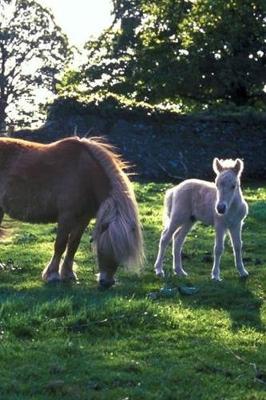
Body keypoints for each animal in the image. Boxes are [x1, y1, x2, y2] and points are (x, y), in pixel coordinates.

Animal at [0, 137, 143, 288]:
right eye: (105, 248)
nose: (107, 283)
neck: (85, 174)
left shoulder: (83, 219)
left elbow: (73, 244)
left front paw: (68, 274)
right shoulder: (66, 217)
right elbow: (60, 245)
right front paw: (52, 275)